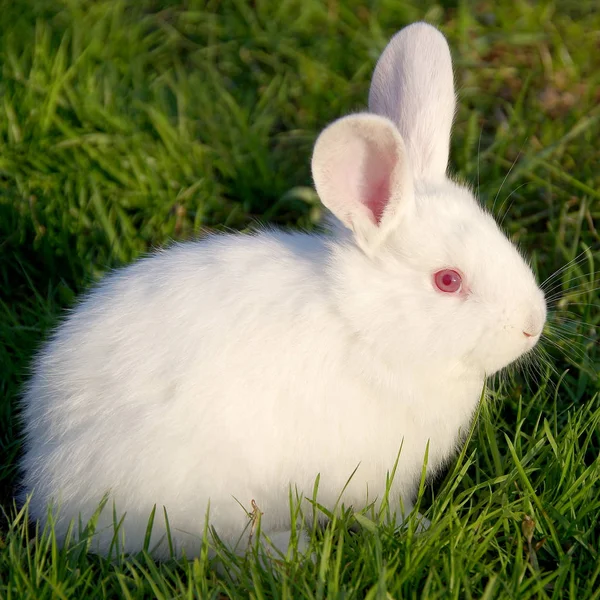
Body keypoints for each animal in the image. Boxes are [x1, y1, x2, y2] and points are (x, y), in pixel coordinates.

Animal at [18, 22, 548, 556]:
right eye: (448, 281)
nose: (532, 325)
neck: (364, 327)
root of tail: (48, 481)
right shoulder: (370, 479)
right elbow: (383, 510)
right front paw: (415, 528)